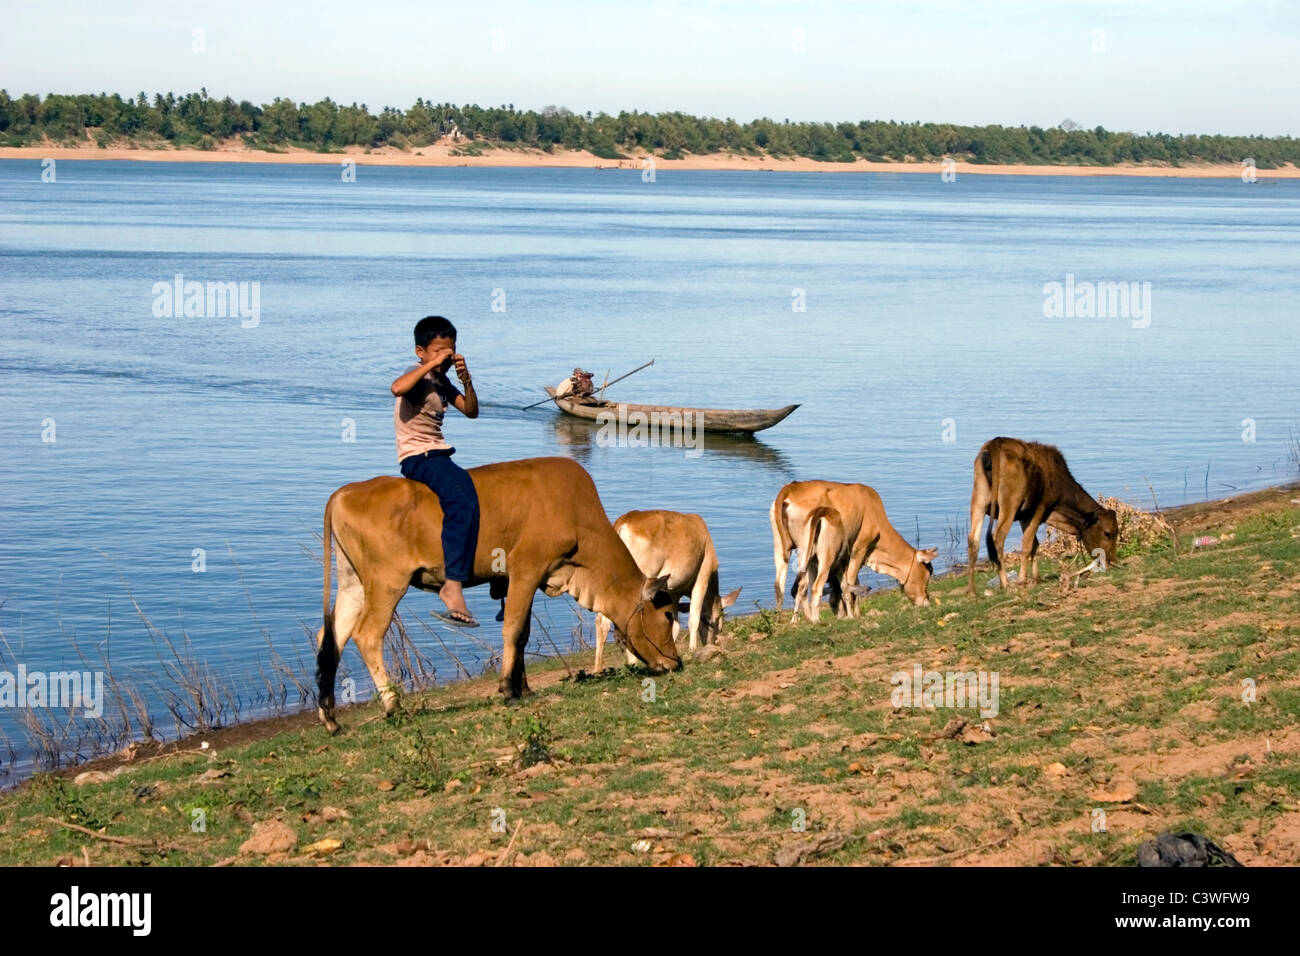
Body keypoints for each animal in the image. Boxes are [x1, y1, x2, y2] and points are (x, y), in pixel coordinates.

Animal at [315, 457, 681, 733]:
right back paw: (393, 705)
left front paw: (523, 686)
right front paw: (508, 689)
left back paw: (329, 717)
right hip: (387, 583)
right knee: (367, 635)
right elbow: (514, 629)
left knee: (331, 636)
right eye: (667, 615)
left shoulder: (527, 578)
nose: (675, 663)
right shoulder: (526, 570)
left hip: (354, 585)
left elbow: (523, 633)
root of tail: (345, 492)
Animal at [592, 509, 738, 671]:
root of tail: (624, 522)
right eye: (716, 620)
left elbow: (673, 624)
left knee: (602, 622)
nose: (711, 644)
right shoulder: (702, 577)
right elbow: (693, 617)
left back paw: (598, 669)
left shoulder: (672, 592)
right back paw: (633, 662)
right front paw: (692, 650)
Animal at [769, 478, 935, 613]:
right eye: (927, 574)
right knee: (803, 586)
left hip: (782, 549)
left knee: (781, 588)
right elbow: (850, 586)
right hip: (807, 551)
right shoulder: (858, 550)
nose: (926, 600)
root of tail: (790, 488)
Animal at [961, 439, 1123, 595]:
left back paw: (972, 591)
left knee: (973, 541)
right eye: (1107, 533)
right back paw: (1005, 584)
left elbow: (1035, 544)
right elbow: (1027, 543)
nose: (1112, 562)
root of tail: (995, 442)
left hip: (979, 501)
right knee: (998, 538)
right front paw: (1022, 579)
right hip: (1009, 505)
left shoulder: (1025, 514)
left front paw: (1035, 577)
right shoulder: (1041, 508)